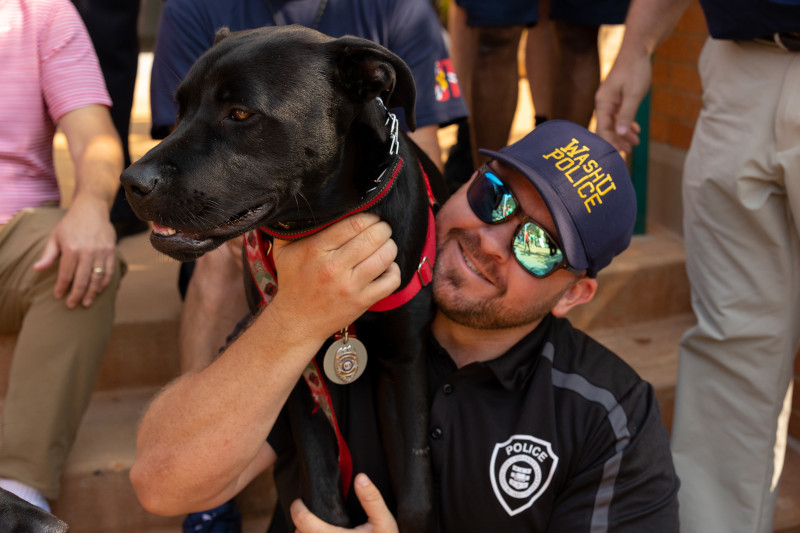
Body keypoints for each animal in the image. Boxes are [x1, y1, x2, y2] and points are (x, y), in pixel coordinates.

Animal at [119, 26, 446, 532]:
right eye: (179, 109)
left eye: (239, 113)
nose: (132, 182)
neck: (325, 220)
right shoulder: (293, 365)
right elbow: (321, 498)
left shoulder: (405, 360)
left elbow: (415, 497)